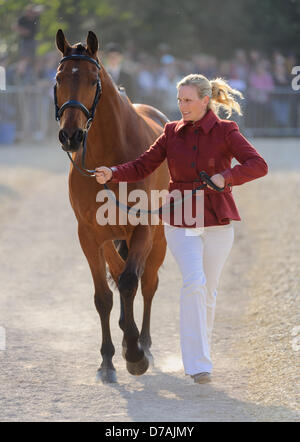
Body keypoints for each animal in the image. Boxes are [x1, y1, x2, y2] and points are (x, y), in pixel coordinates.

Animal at [55, 30, 170, 384]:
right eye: (59, 78)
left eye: (93, 80)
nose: (71, 135)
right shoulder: (90, 235)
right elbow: (104, 296)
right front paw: (107, 359)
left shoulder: (142, 228)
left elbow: (132, 282)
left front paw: (135, 353)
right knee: (118, 278)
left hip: (158, 238)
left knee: (147, 284)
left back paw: (144, 342)